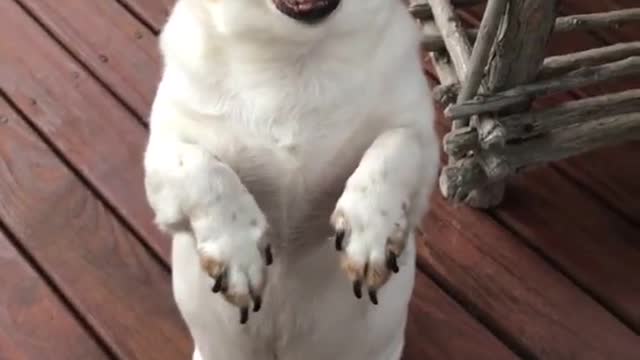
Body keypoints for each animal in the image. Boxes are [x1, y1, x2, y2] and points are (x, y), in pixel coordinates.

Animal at [142, 0, 438, 358]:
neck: (292, 55)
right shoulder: (162, 159)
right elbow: (203, 169)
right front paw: (237, 251)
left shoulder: (422, 149)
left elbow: (396, 144)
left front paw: (370, 234)